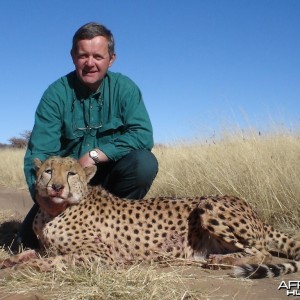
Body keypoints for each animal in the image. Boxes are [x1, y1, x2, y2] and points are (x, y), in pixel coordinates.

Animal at [0, 157, 300, 278]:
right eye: (48, 171)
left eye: (71, 173)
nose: (57, 187)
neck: (53, 211)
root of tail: (256, 212)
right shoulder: (46, 247)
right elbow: (30, 253)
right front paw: (10, 261)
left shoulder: (103, 257)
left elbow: (56, 260)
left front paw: (26, 268)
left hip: (209, 204)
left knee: (261, 252)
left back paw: (221, 260)